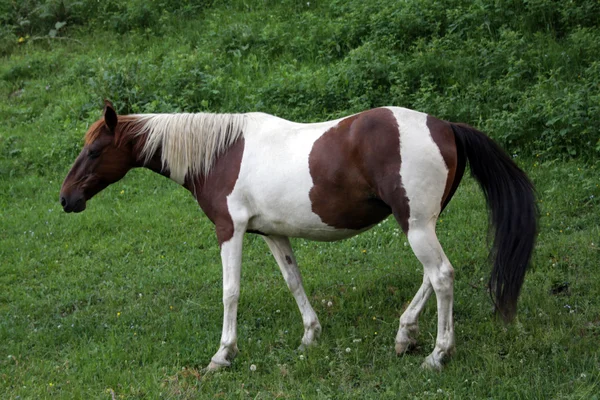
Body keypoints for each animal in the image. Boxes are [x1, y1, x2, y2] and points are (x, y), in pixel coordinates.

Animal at [61, 101, 536, 370]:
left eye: (95, 150)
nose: (67, 199)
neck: (220, 153)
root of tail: (446, 126)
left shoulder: (229, 230)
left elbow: (230, 292)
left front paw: (223, 354)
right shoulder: (272, 234)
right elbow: (293, 281)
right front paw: (310, 335)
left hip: (416, 225)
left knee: (441, 277)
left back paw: (438, 355)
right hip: (421, 224)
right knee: (433, 277)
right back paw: (405, 336)